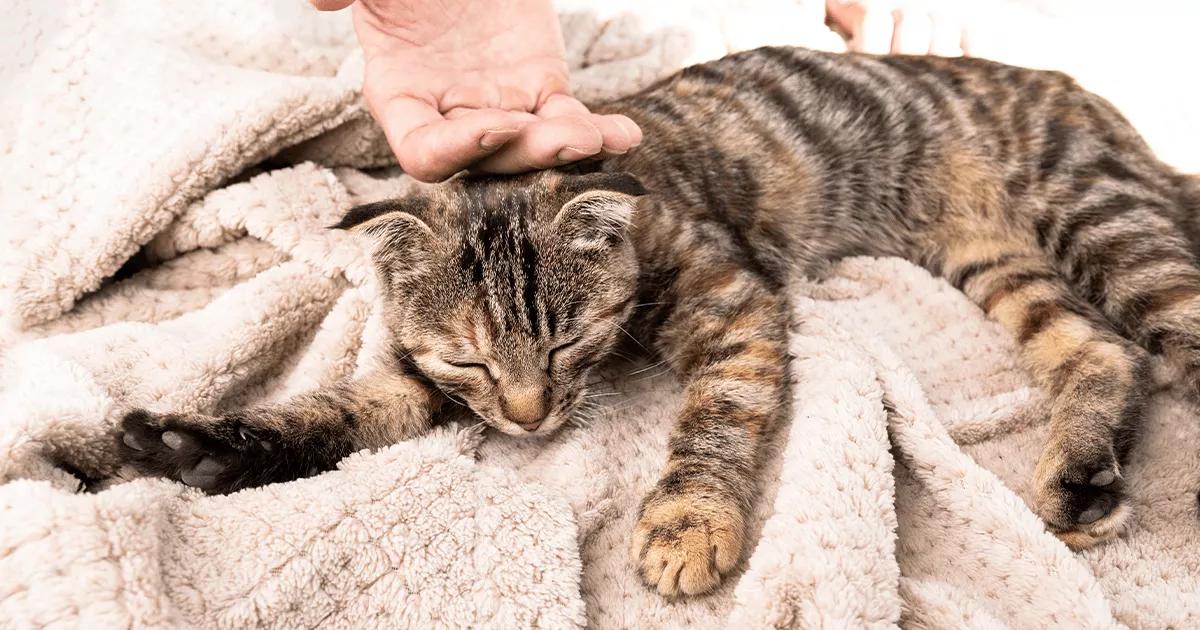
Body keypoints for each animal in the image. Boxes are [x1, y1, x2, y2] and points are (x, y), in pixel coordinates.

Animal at [119, 48, 1200, 595]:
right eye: (471, 362)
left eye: (565, 338)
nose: (527, 420)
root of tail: (1097, 104)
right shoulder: (417, 380)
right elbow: (339, 412)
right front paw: (203, 443)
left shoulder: (738, 305)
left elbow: (715, 417)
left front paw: (688, 521)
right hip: (996, 258)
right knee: (1099, 349)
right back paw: (1080, 476)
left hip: (1101, 218)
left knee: (1168, 337)